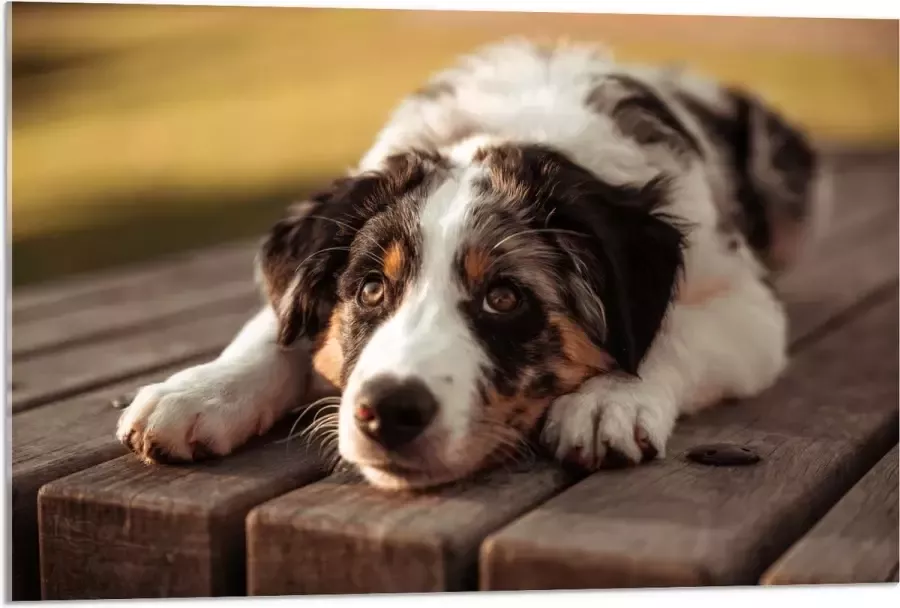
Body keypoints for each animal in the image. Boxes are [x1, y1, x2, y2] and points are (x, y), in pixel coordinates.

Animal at [116, 40, 828, 490]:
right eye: (370, 289)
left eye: (505, 297)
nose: (388, 413)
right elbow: (274, 327)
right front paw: (197, 392)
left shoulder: (748, 305)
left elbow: (672, 331)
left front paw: (610, 400)